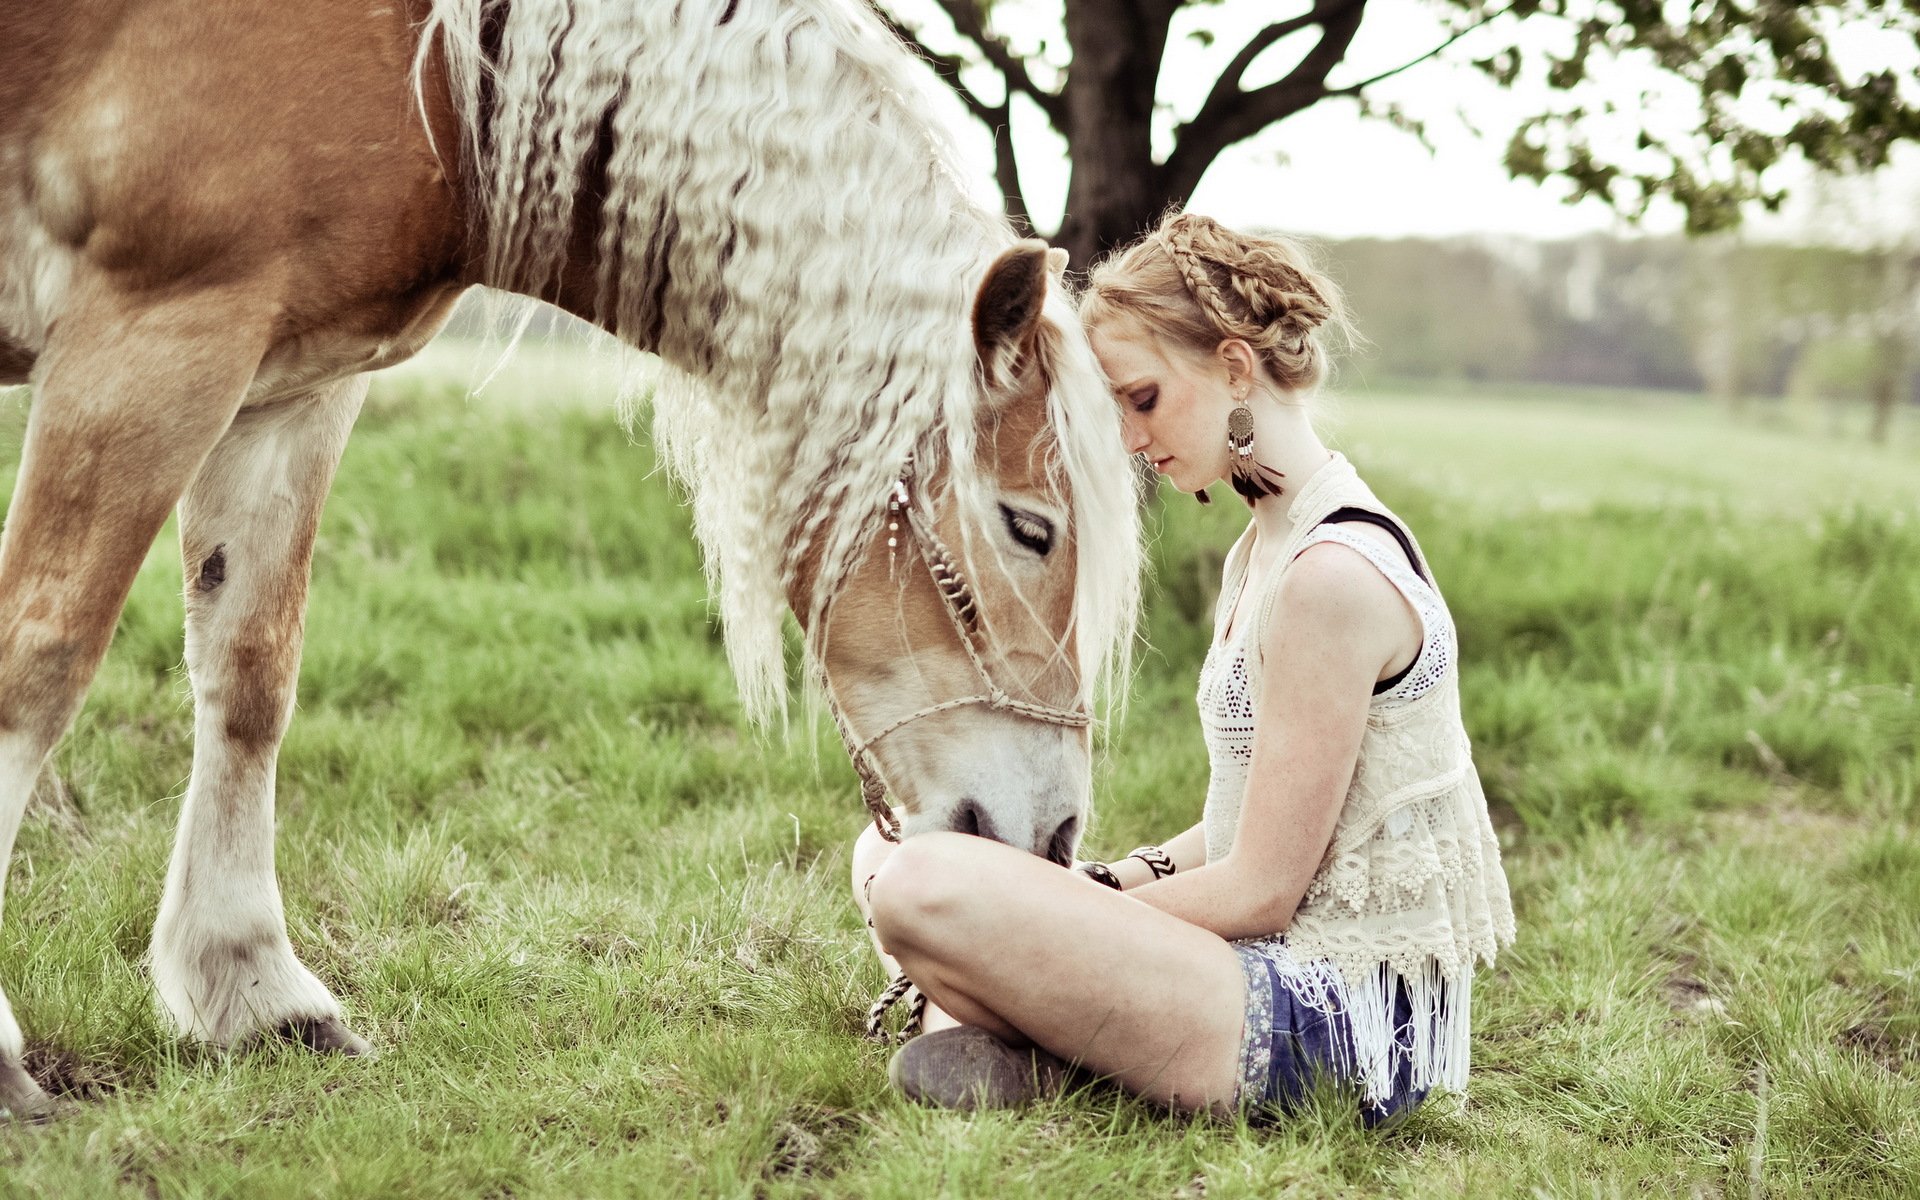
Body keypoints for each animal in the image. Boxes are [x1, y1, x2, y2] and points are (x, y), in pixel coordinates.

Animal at [0, 0, 1141, 1116]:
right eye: (1029, 527)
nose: (1056, 836)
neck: (428, 79)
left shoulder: (289, 389)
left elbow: (249, 680)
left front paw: (254, 992)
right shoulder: (151, 342)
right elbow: (38, 663)